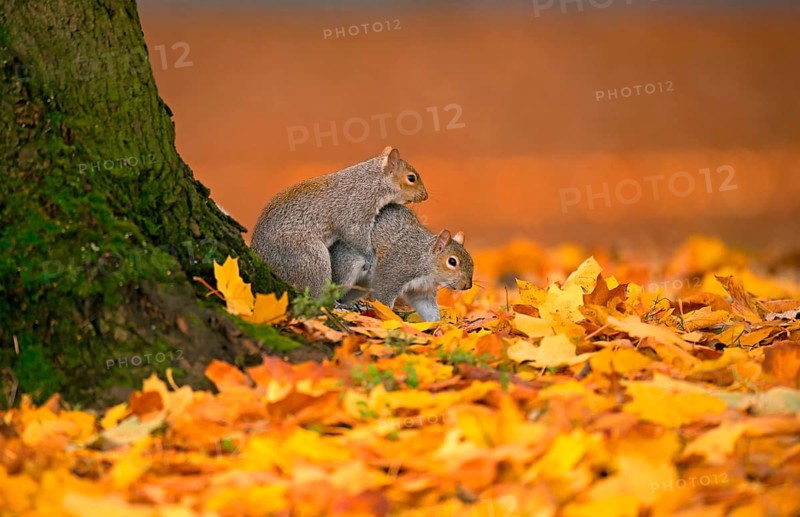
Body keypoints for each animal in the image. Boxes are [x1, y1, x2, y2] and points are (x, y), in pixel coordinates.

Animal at [250, 147, 428, 297]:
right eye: (411, 178)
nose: (426, 196)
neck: (371, 182)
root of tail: (263, 257)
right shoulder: (355, 211)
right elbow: (356, 236)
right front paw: (370, 256)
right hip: (307, 257)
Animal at [330, 204, 474, 322]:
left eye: (471, 261)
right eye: (452, 261)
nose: (468, 285)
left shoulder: (421, 290)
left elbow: (427, 307)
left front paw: (438, 325)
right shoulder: (393, 272)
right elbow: (383, 299)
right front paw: (388, 318)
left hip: (362, 285)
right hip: (347, 266)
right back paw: (339, 306)